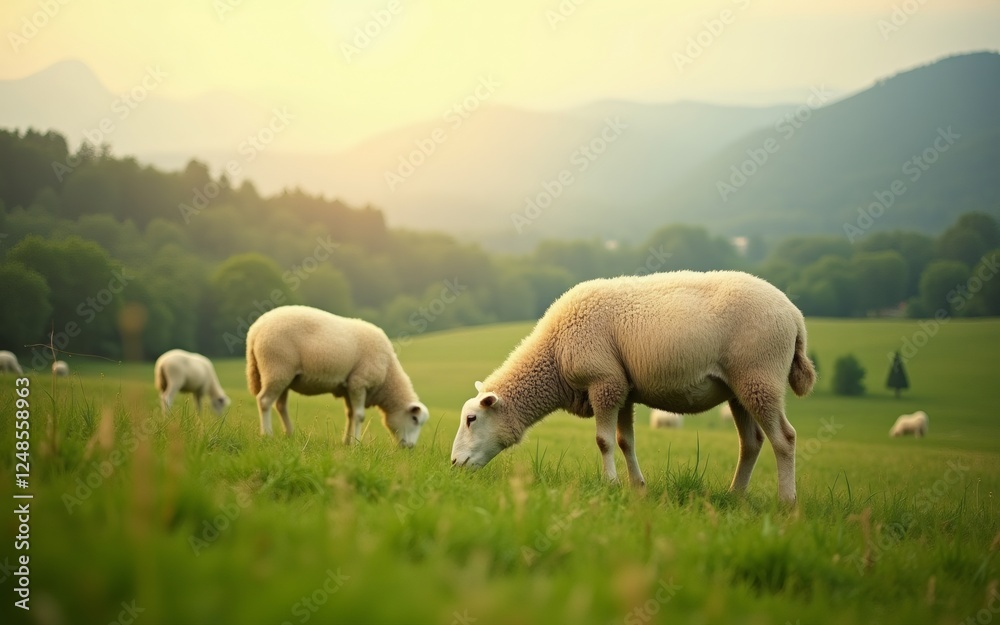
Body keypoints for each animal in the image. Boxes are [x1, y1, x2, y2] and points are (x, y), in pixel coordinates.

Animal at [245, 305, 430, 447]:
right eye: (414, 419)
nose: (410, 447)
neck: (387, 377)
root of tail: (255, 329)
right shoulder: (359, 382)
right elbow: (359, 416)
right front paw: (356, 444)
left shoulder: (349, 386)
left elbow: (350, 414)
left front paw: (347, 442)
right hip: (276, 366)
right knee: (264, 401)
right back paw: (267, 434)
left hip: (284, 375)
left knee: (281, 405)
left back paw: (290, 434)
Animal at [451, 270, 816, 504]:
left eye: (471, 419)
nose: (454, 464)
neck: (553, 354)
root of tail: (795, 315)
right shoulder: (622, 387)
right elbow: (626, 441)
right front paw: (637, 488)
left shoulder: (604, 381)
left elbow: (603, 441)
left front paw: (610, 484)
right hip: (741, 388)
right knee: (751, 443)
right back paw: (735, 496)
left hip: (760, 375)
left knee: (784, 439)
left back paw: (787, 502)